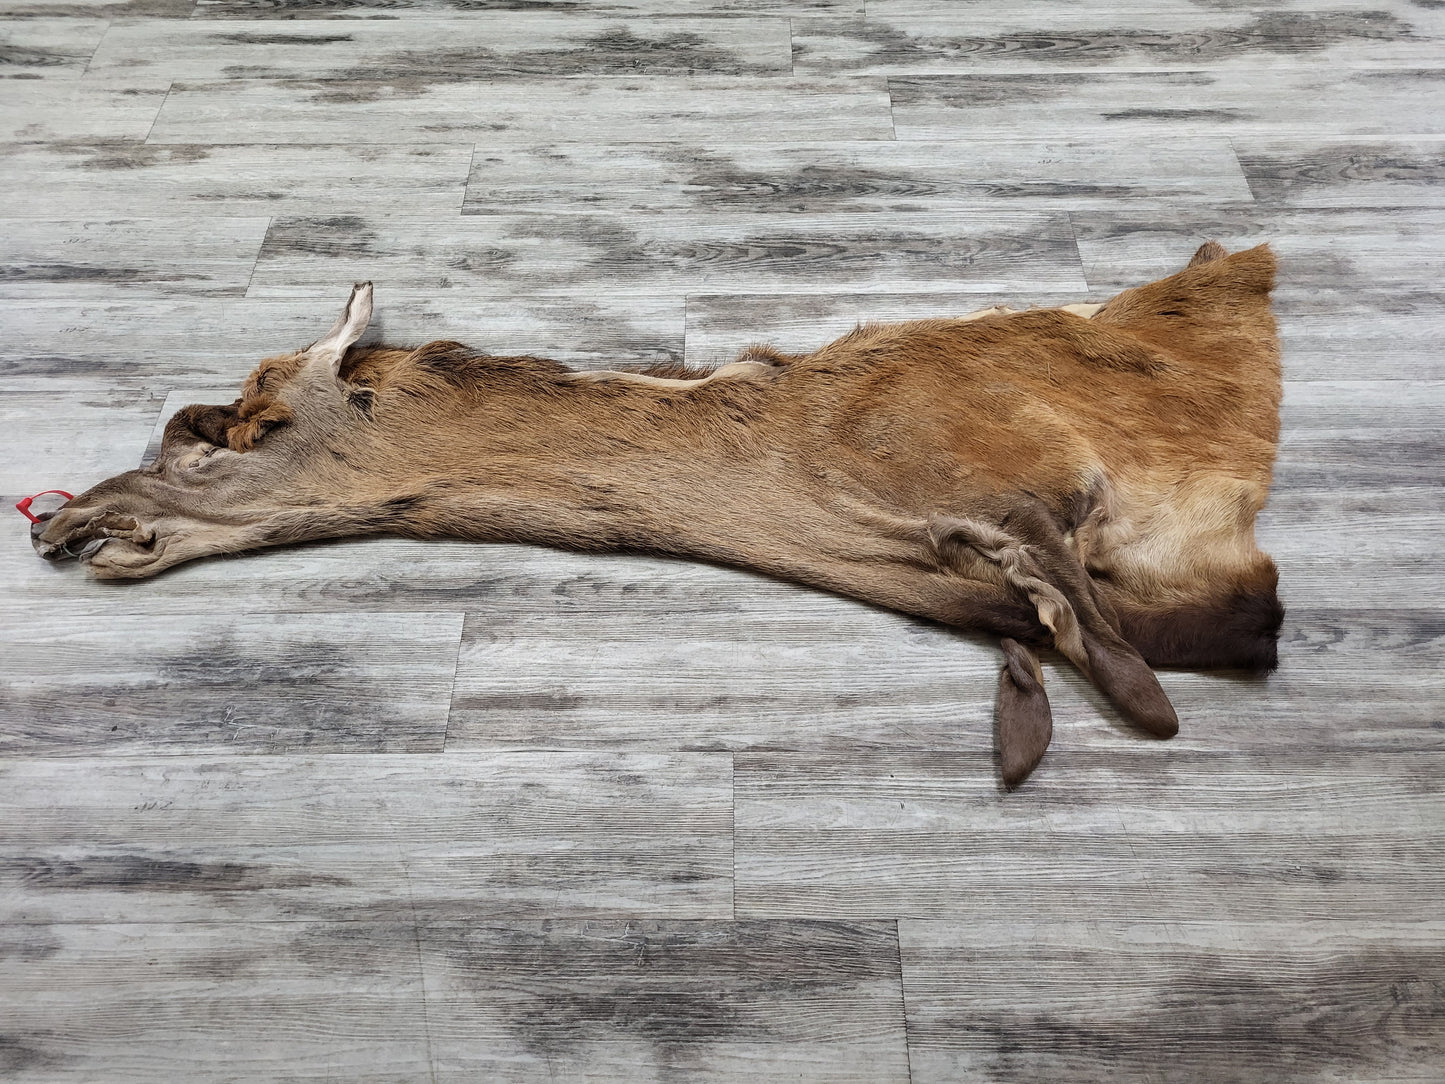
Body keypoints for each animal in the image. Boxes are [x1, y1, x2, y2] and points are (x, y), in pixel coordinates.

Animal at [28, 241, 1284, 788]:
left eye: (235, 434)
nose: (61, 520)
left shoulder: (1039, 490)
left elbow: (1098, 616)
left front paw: (1129, 694)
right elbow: (1045, 622)